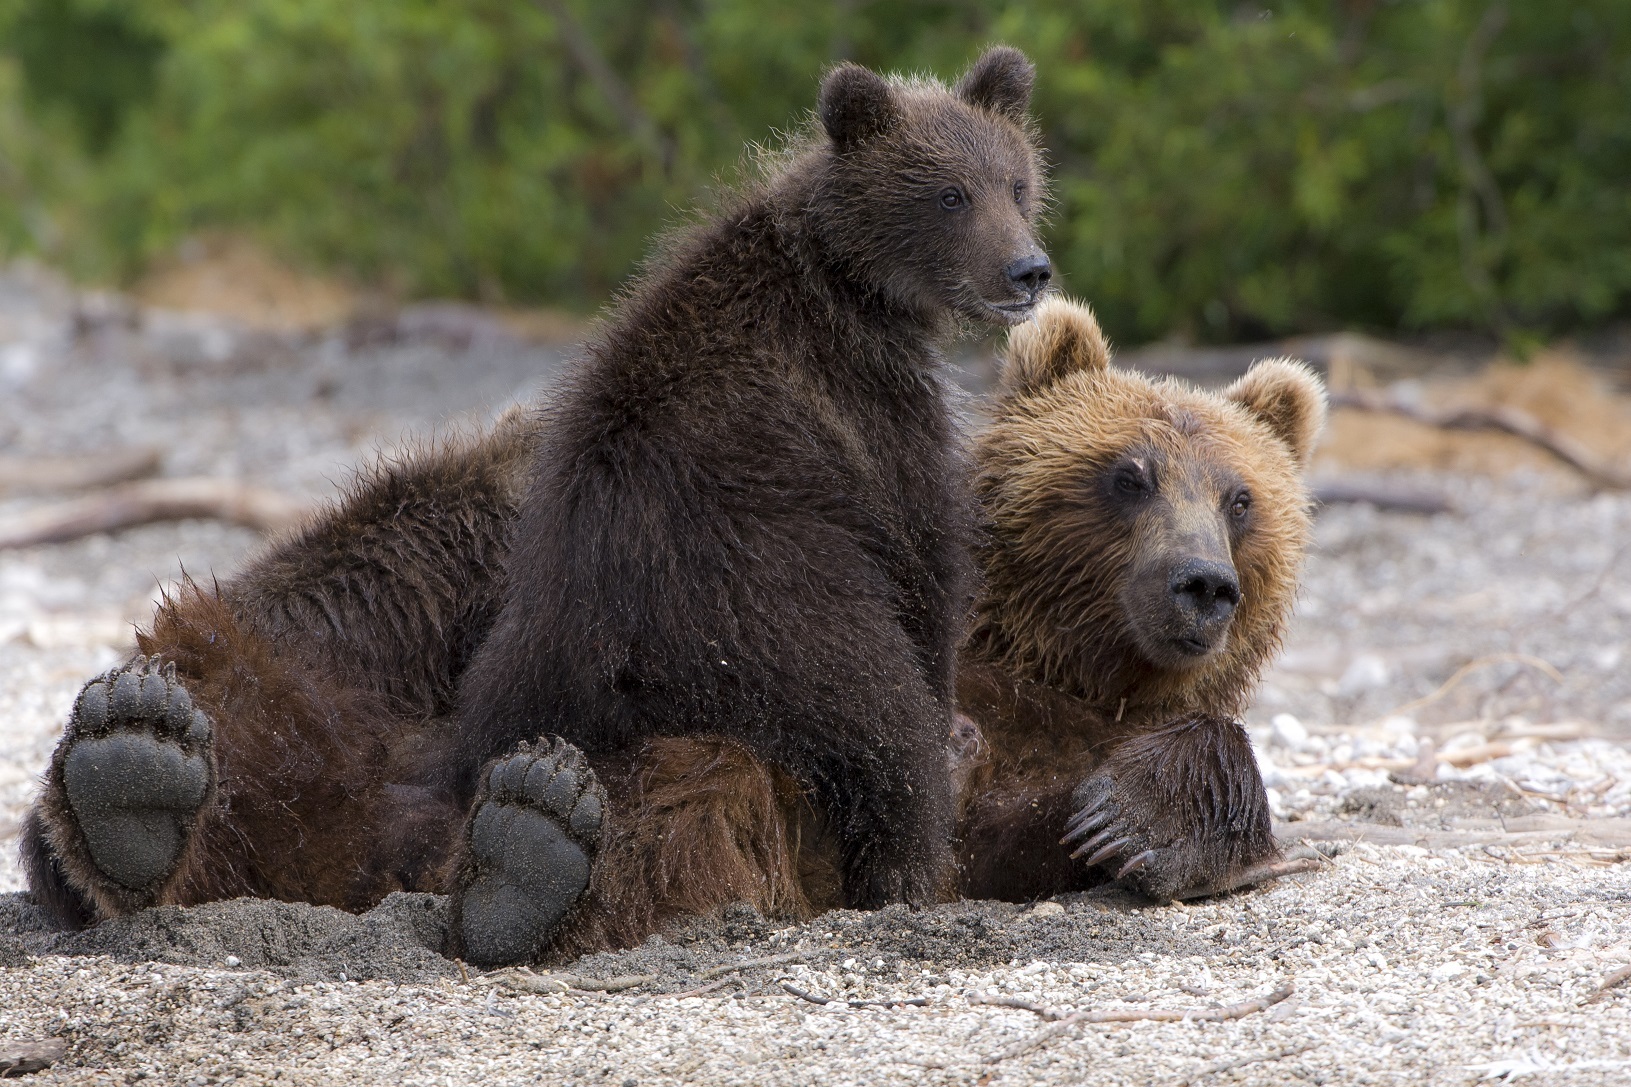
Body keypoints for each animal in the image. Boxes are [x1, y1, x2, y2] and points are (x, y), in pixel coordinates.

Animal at [25, 46, 1050, 959]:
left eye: (1016, 182)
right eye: (951, 194)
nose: (1029, 270)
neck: (845, 277)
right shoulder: (860, 412)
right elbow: (924, 566)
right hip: (765, 610)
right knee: (876, 720)